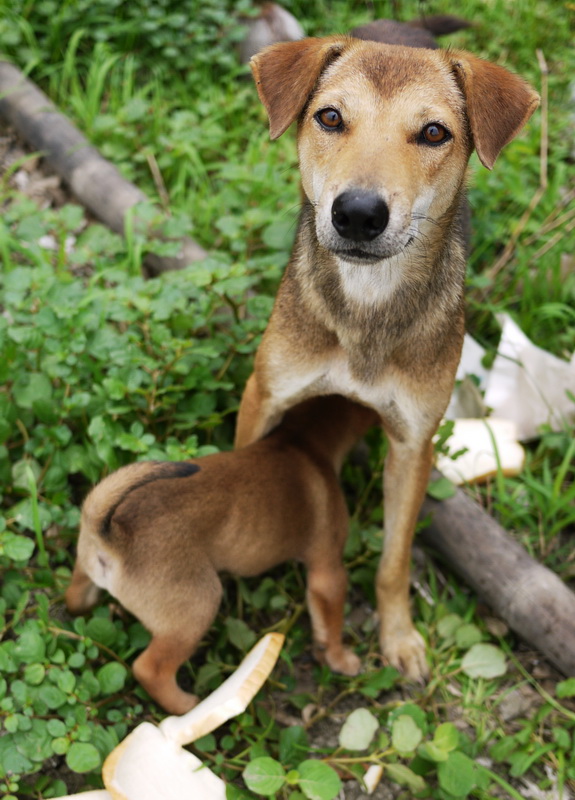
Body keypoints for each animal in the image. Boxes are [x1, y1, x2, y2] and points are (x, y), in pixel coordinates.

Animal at [66, 396, 378, 716]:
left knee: (74, 600)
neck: (301, 440)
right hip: (198, 608)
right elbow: (332, 624)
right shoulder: (328, 571)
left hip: (86, 576)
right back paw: (187, 705)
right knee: (150, 669)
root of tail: (115, 535)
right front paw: (341, 659)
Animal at [235, 34, 540, 680]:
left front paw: (398, 637)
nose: (357, 213)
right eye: (329, 118)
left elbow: (395, 561)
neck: (365, 311)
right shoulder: (264, 395)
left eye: (433, 132)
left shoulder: (413, 441)